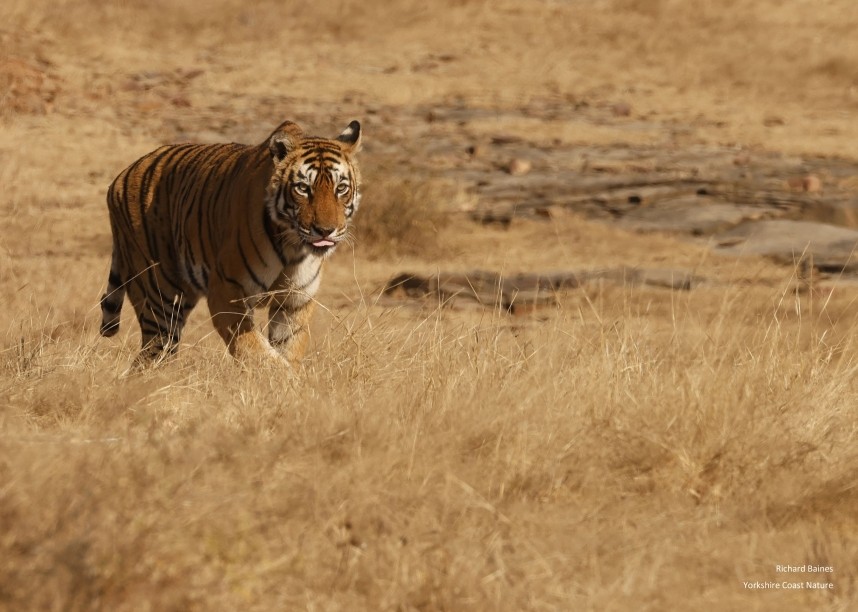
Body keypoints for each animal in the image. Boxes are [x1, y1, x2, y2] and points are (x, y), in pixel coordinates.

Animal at [99, 119, 362, 366]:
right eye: (303, 188)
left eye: (341, 188)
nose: (325, 231)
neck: (294, 249)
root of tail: (119, 178)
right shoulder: (226, 292)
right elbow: (257, 351)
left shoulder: (295, 300)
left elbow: (288, 349)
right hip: (161, 295)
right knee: (151, 354)